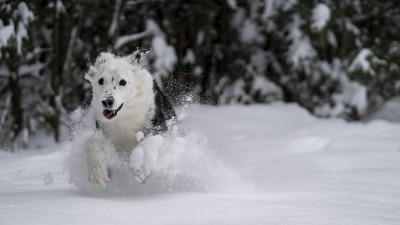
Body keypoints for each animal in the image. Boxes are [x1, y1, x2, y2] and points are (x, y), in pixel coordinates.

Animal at [83, 50, 175, 189]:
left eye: (123, 82)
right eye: (101, 81)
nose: (107, 101)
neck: (124, 116)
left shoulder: (160, 127)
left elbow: (145, 143)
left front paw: (140, 167)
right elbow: (92, 143)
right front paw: (97, 174)